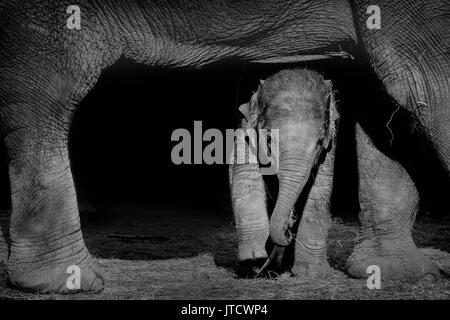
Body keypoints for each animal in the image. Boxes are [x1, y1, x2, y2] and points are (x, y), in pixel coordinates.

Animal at [230, 69, 336, 278]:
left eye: (319, 142)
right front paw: (253, 260)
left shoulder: (330, 149)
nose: (288, 231)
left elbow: (319, 191)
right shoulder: (245, 129)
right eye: (269, 140)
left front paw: (313, 273)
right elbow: (246, 180)